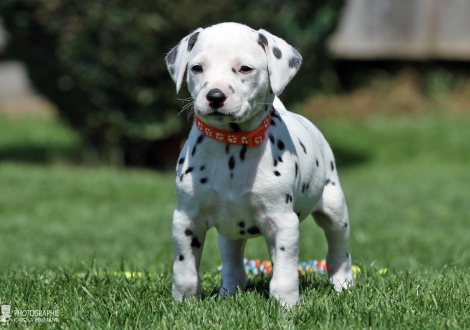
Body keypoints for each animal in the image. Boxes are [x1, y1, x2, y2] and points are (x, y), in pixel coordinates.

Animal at [165, 22, 352, 306]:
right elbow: (185, 270)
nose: (215, 96)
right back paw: (229, 291)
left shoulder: (283, 222)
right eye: (197, 68)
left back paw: (343, 284)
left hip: (334, 208)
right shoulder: (186, 220)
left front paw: (286, 305)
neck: (232, 144)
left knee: (338, 249)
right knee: (233, 261)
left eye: (245, 68)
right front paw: (184, 303)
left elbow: (285, 271)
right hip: (229, 233)